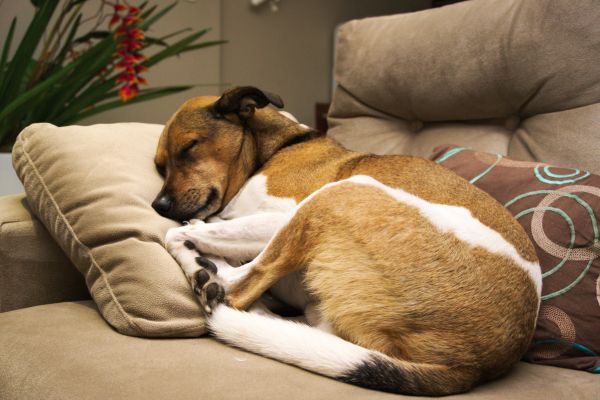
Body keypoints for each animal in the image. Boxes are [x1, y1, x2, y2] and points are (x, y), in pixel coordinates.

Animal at [152, 86, 540, 396]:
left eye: (189, 147)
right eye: (159, 166)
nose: (159, 206)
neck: (277, 148)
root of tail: (472, 366)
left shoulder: (280, 215)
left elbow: (183, 231)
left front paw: (198, 251)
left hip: (338, 194)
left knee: (236, 289)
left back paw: (208, 275)